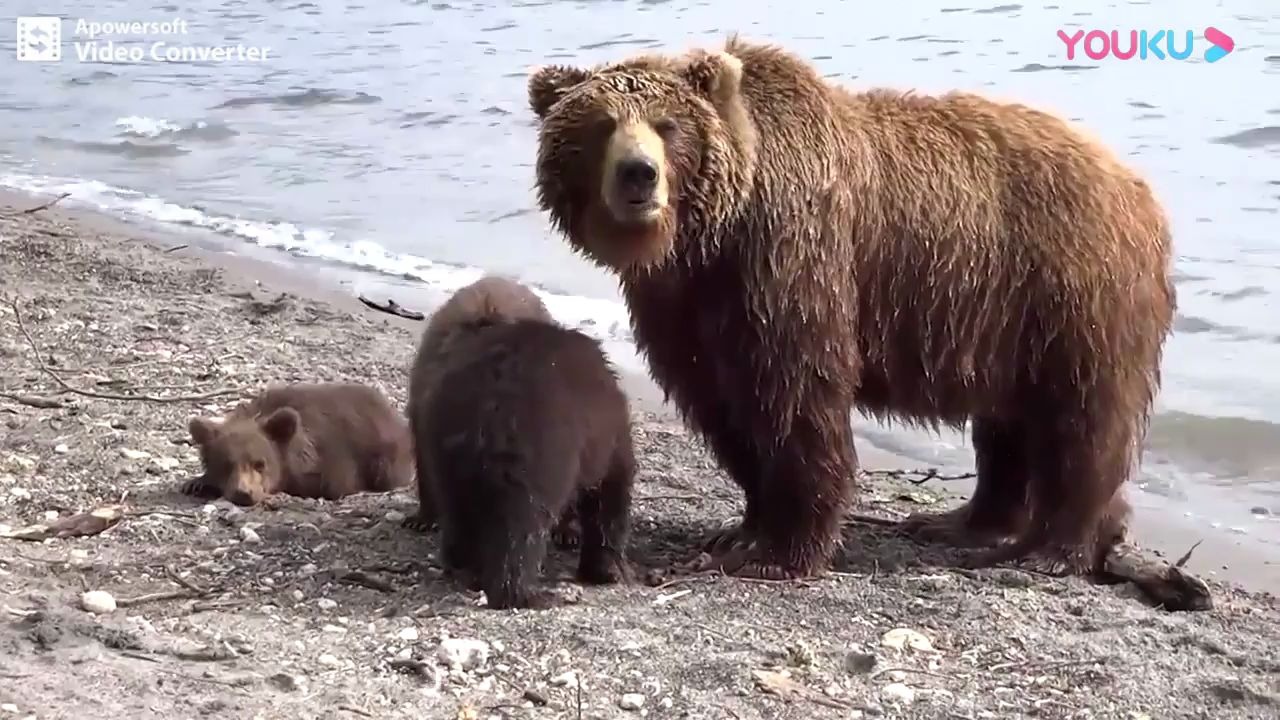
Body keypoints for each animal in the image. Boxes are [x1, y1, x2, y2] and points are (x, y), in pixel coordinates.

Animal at [527, 37, 1177, 576]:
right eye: (602, 125)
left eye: (667, 125)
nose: (639, 175)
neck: (713, 237)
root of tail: (1139, 188)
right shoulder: (687, 304)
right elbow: (721, 404)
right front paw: (740, 529)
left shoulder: (789, 264)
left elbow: (795, 398)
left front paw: (778, 550)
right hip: (1007, 318)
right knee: (1009, 424)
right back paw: (961, 523)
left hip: (1069, 291)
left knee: (1079, 420)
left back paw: (1052, 548)